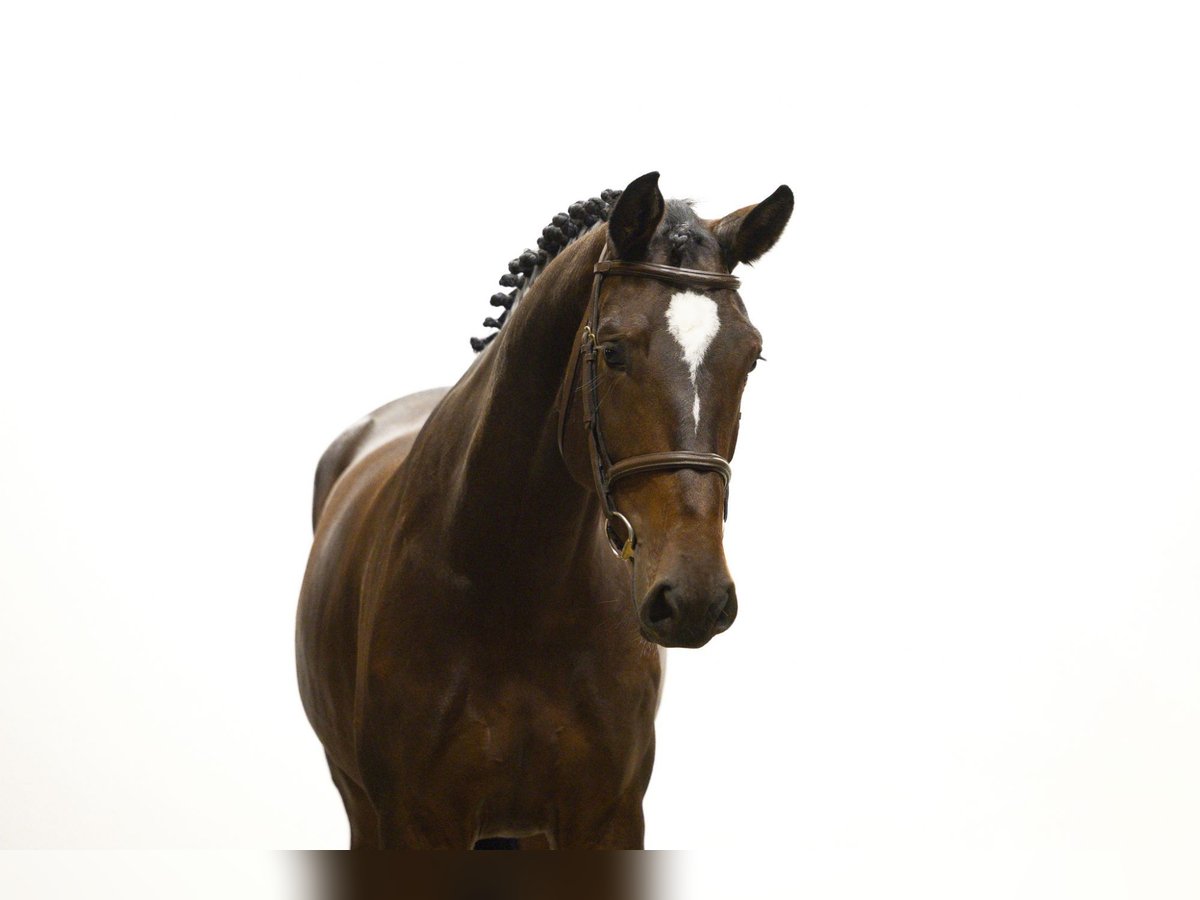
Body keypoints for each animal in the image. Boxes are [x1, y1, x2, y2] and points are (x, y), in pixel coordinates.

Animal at [296, 172, 793, 849]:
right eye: (612, 351)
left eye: (751, 357)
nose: (694, 596)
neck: (517, 595)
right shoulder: (414, 823)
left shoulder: (610, 817)